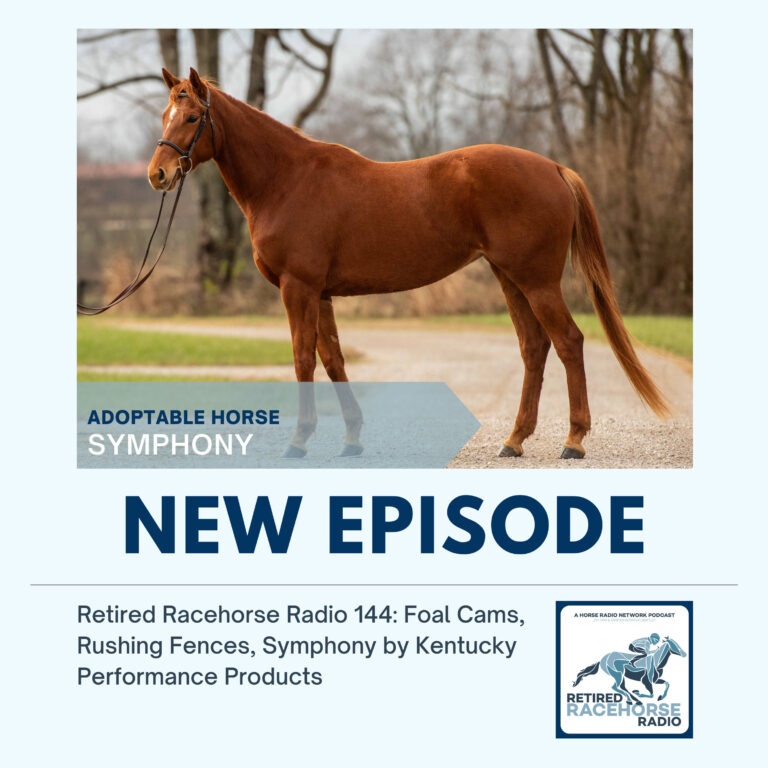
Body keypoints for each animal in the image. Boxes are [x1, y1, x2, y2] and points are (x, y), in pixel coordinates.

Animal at [147, 67, 669, 460]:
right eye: (164, 114)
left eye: (191, 116)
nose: (158, 174)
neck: (287, 180)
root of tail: (554, 168)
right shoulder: (322, 293)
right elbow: (332, 359)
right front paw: (352, 438)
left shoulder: (299, 287)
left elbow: (302, 359)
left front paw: (299, 440)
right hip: (509, 277)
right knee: (533, 347)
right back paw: (514, 440)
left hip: (536, 280)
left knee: (568, 342)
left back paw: (574, 441)